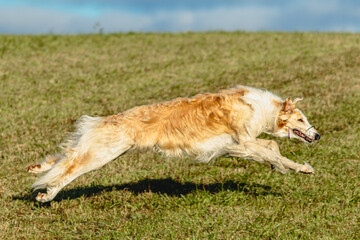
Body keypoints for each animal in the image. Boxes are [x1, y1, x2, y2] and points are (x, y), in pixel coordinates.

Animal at [28, 85, 320, 202]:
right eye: (300, 118)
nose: (317, 136)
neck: (261, 108)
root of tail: (108, 119)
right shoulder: (244, 140)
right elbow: (274, 149)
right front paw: (301, 168)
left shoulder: (235, 146)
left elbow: (271, 150)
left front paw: (285, 167)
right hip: (102, 154)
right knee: (67, 171)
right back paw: (47, 194)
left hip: (101, 150)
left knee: (63, 157)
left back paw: (37, 169)